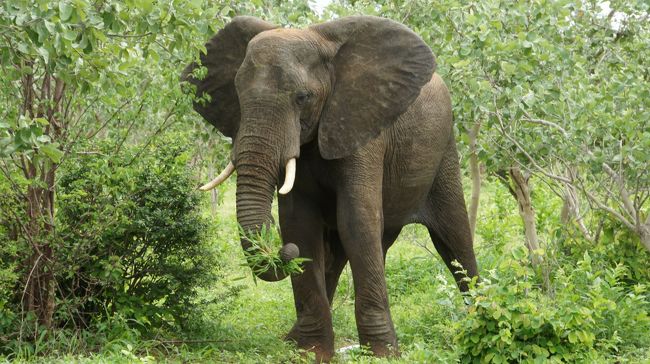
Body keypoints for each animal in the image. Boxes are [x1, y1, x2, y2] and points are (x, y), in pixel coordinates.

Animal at [181, 14, 476, 362]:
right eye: (238, 94)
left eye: (303, 98)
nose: (280, 251)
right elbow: (300, 225)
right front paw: (310, 351)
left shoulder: (362, 126)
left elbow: (357, 222)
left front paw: (382, 353)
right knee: (353, 249)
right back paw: (294, 337)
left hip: (445, 148)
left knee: (454, 238)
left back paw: (478, 318)